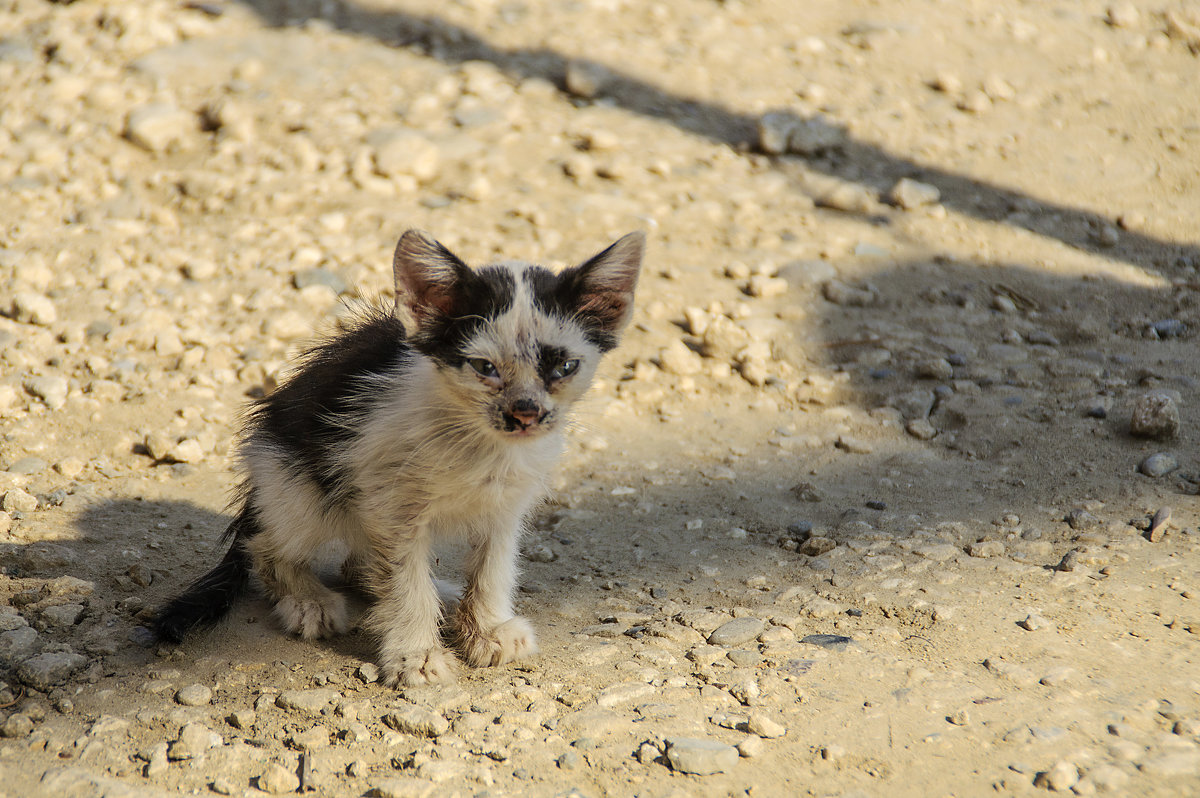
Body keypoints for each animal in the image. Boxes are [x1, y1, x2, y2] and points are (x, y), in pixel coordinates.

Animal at [159, 229, 648, 686]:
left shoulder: (505, 505)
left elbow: (493, 565)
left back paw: (443, 596)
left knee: (359, 561)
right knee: (265, 547)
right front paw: (417, 655)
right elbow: (403, 581)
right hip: (298, 487)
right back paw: (309, 600)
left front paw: (487, 629)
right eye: (484, 368)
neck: (478, 442)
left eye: (564, 367)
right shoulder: (391, 505)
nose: (525, 413)